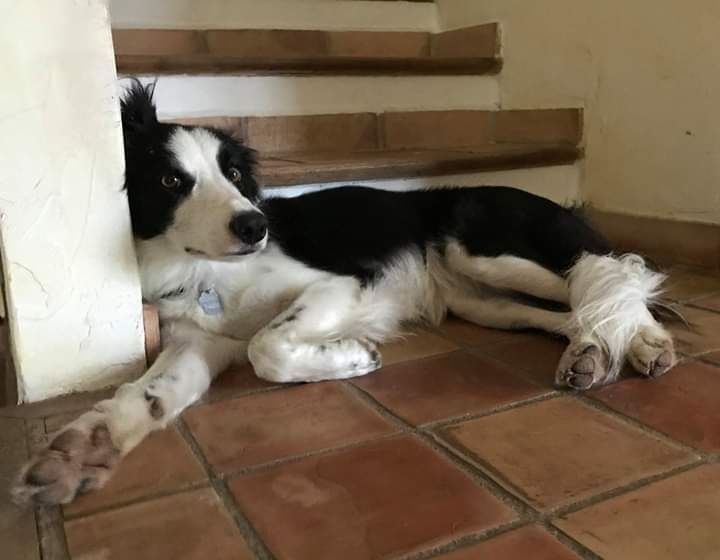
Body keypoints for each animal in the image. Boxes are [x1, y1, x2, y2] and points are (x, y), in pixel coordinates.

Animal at [12, 80, 676, 506]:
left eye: (234, 174)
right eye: (172, 180)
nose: (254, 225)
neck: (206, 274)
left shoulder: (335, 284)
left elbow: (267, 347)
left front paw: (354, 356)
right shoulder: (198, 343)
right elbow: (146, 392)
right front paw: (82, 450)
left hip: (486, 248)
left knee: (619, 278)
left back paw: (645, 343)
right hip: (484, 303)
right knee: (576, 311)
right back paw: (595, 353)